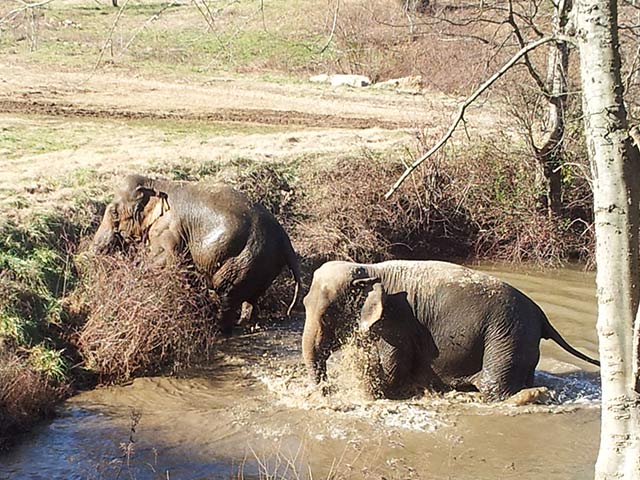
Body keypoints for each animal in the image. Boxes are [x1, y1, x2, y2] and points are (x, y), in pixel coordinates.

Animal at [94, 173, 304, 334]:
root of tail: (285, 240)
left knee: (226, 292)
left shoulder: (167, 230)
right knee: (250, 296)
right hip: (261, 264)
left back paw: (220, 329)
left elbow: (167, 262)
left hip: (245, 259)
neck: (155, 183)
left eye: (114, 213)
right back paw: (247, 324)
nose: (96, 250)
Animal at [302, 258, 600, 402]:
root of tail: (541, 314)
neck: (366, 268)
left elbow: (394, 362)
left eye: (327, 315)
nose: (327, 393)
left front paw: (378, 393)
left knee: (494, 389)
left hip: (506, 335)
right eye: (303, 304)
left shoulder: (397, 321)